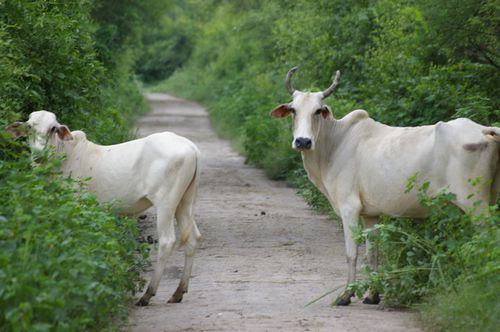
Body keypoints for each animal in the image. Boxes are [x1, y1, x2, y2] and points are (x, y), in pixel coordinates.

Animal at [7, 111, 201, 306]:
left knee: (167, 241)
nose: (39, 155)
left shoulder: (77, 205)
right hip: (184, 202)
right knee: (192, 239)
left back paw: (148, 294)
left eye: (53, 128)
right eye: (29, 126)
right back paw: (178, 292)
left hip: (165, 203)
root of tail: (190, 146)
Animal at [272, 67, 500, 306]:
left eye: (317, 111)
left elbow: (351, 253)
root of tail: (484, 129)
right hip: (490, 198)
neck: (334, 144)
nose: (303, 141)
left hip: (475, 204)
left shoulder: (349, 207)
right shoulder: (370, 214)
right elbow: (372, 253)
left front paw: (346, 295)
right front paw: (372, 295)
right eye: (293, 110)